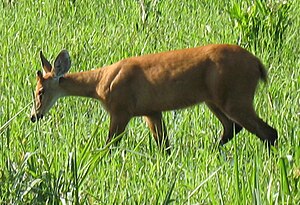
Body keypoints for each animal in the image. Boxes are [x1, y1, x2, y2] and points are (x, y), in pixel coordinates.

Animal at [31, 44, 278, 153]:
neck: (100, 84)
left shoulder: (121, 110)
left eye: (40, 92)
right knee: (232, 128)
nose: (34, 116)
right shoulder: (151, 111)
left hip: (236, 96)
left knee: (268, 132)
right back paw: (209, 151)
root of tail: (257, 64)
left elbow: (110, 144)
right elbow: (163, 145)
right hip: (215, 100)